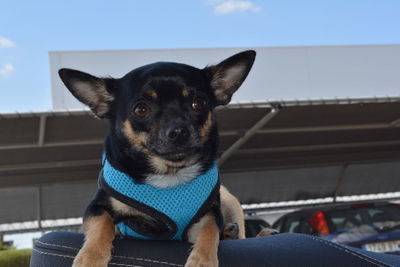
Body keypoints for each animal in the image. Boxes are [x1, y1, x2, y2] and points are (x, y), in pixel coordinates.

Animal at [59, 50, 256, 267]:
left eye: (199, 103)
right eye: (141, 109)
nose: (179, 131)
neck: (170, 174)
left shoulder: (208, 215)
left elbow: (210, 231)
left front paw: (202, 261)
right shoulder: (97, 207)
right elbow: (103, 224)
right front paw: (91, 257)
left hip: (231, 202)